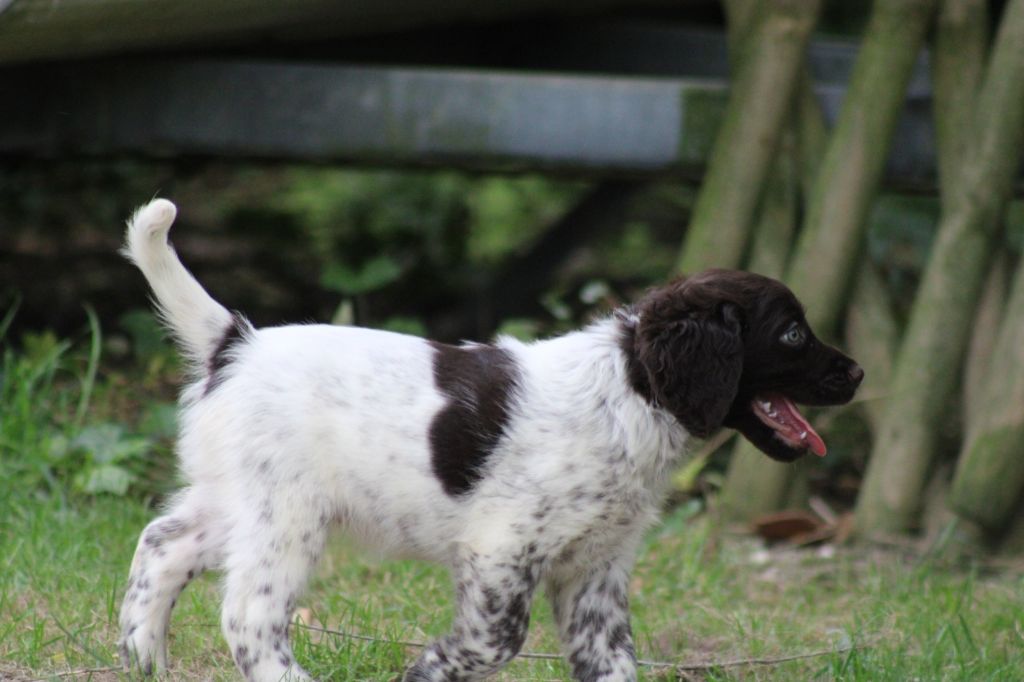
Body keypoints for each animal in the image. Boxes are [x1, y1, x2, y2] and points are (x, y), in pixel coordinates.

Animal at [116, 195, 860, 675]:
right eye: (793, 334)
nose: (856, 372)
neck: (626, 391)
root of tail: (235, 342)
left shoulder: (596, 568)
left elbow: (612, 661)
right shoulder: (502, 549)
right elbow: (495, 640)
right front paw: (429, 670)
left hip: (234, 500)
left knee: (161, 545)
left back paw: (141, 660)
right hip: (286, 513)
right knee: (250, 613)